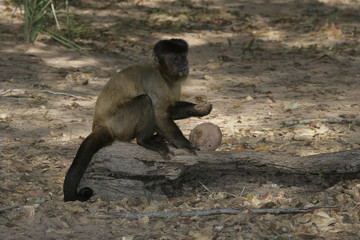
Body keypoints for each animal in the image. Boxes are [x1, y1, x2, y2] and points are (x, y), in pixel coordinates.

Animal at [63, 39, 212, 201]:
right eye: (176, 58)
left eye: (184, 57)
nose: (184, 63)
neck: (160, 71)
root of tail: (100, 124)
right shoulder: (154, 80)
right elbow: (159, 113)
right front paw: (184, 144)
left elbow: (169, 110)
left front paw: (198, 109)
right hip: (120, 123)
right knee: (144, 100)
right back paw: (145, 141)